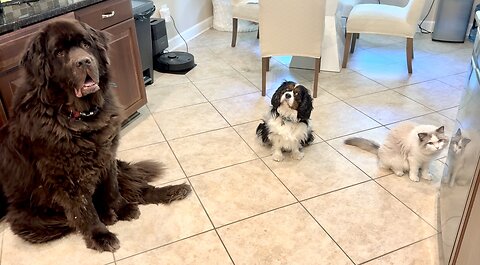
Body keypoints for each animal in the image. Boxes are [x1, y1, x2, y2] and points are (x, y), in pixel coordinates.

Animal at [0, 19, 191, 251]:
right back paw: (107, 215)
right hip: (32, 222)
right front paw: (100, 235)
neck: (81, 117)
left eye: (85, 44)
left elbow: (112, 189)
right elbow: (83, 210)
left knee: (138, 190)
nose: (84, 61)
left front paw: (121, 208)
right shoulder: (66, 177)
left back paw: (173, 190)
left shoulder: (107, 157)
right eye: (59, 52)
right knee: (69, 219)